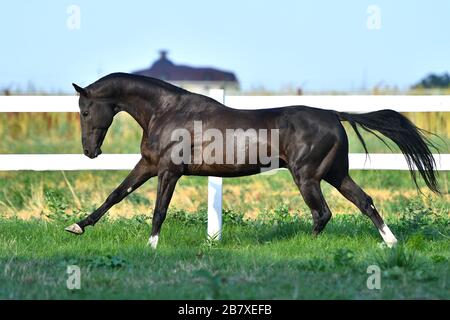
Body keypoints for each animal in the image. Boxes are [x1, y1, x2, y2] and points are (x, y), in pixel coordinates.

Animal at [67, 74, 440, 249]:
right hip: (335, 174)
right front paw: (77, 226)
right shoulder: (147, 165)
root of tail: (335, 114)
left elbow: (159, 209)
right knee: (364, 201)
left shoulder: (169, 171)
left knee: (322, 213)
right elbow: (116, 195)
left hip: (307, 176)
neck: (167, 111)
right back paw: (390, 242)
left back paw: (302, 245)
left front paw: (152, 245)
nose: (90, 152)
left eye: (84, 111)